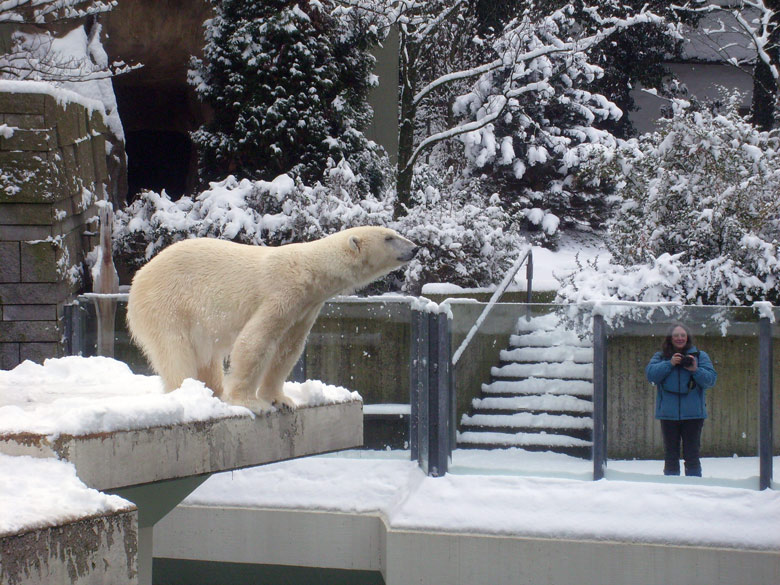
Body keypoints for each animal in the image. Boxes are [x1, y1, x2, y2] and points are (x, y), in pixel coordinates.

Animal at [126, 226, 420, 408]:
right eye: (389, 237)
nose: (415, 248)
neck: (309, 269)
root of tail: (138, 280)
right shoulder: (281, 292)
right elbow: (256, 341)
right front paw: (249, 402)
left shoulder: (306, 307)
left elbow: (288, 349)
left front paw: (281, 400)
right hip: (167, 305)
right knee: (176, 351)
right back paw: (190, 391)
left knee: (207, 358)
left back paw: (214, 390)